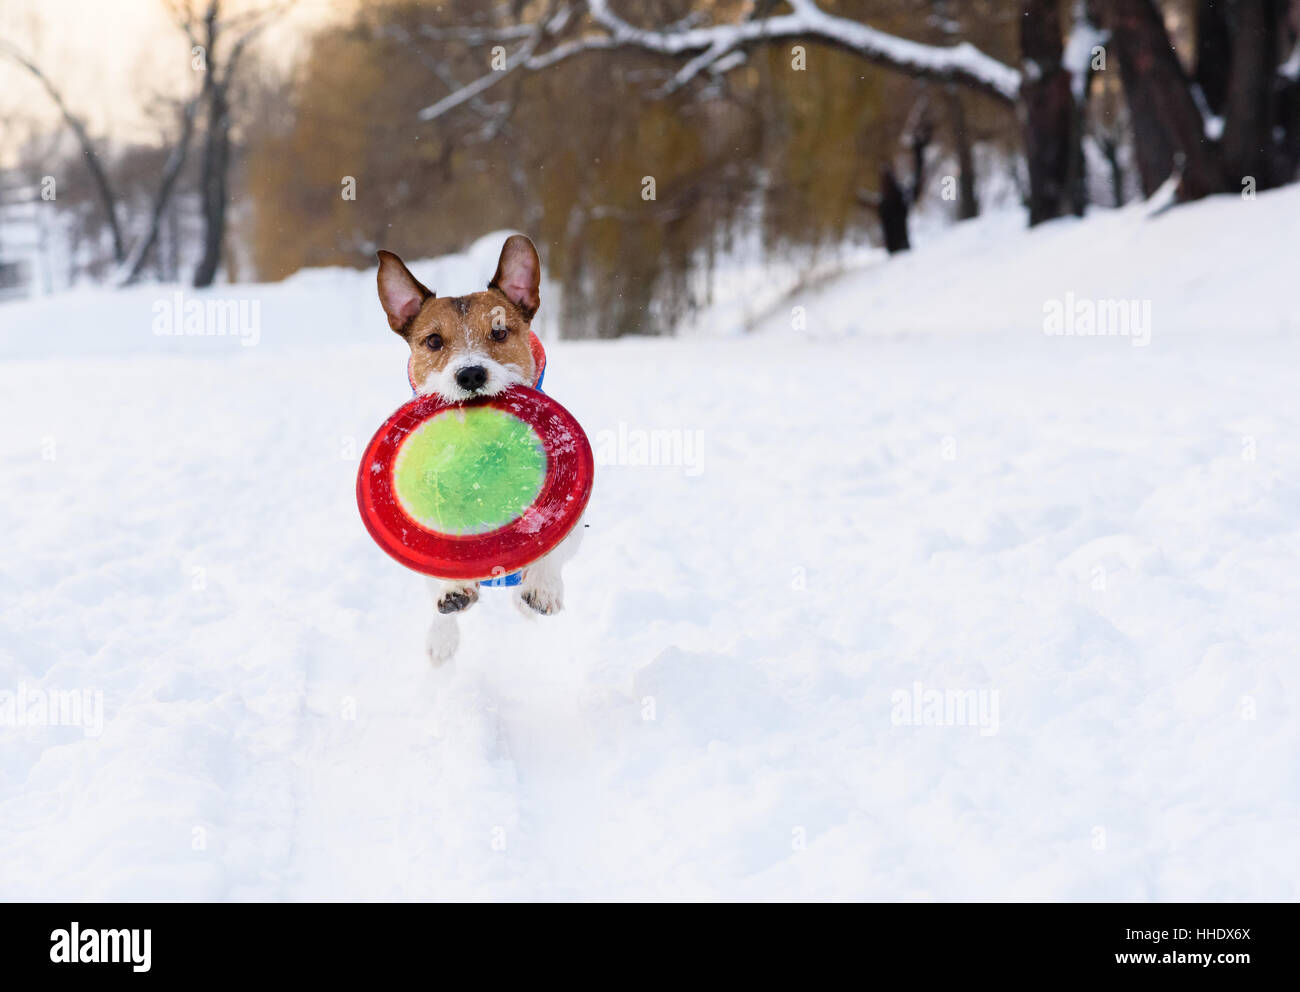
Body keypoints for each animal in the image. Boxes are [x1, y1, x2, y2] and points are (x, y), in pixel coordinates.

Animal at [374, 235, 582, 663]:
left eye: (500, 333)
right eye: (433, 341)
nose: (470, 374)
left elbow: (552, 539)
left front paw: (542, 588)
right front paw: (450, 596)